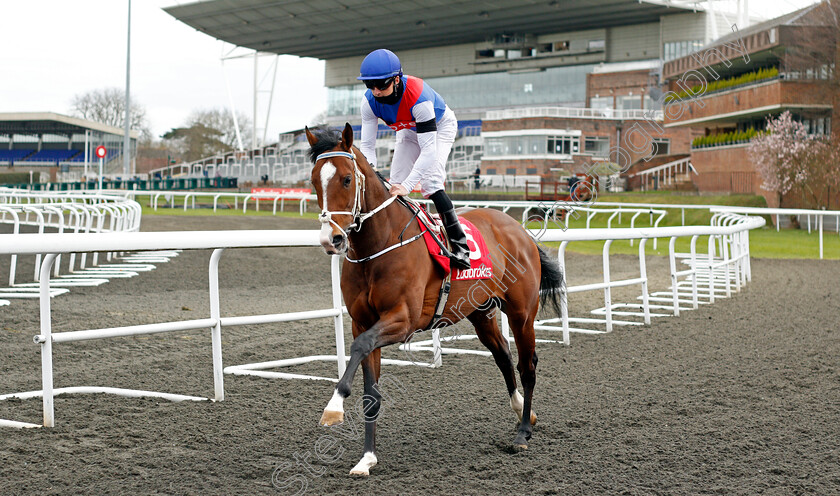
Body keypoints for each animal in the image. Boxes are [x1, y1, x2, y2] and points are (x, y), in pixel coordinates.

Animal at [306, 124, 560, 476]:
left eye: (345, 179)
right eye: (314, 181)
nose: (331, 239)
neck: (378, 246)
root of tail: (520, 230)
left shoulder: (403, 319)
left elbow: (359, 348)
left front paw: (334, 406)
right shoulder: (362, 321)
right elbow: (370, 390)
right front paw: (367, 458)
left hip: (522, 313)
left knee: (527, 366)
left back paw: (522, 433)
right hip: (480, 313)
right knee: (503, 356)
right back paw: (523, 409)